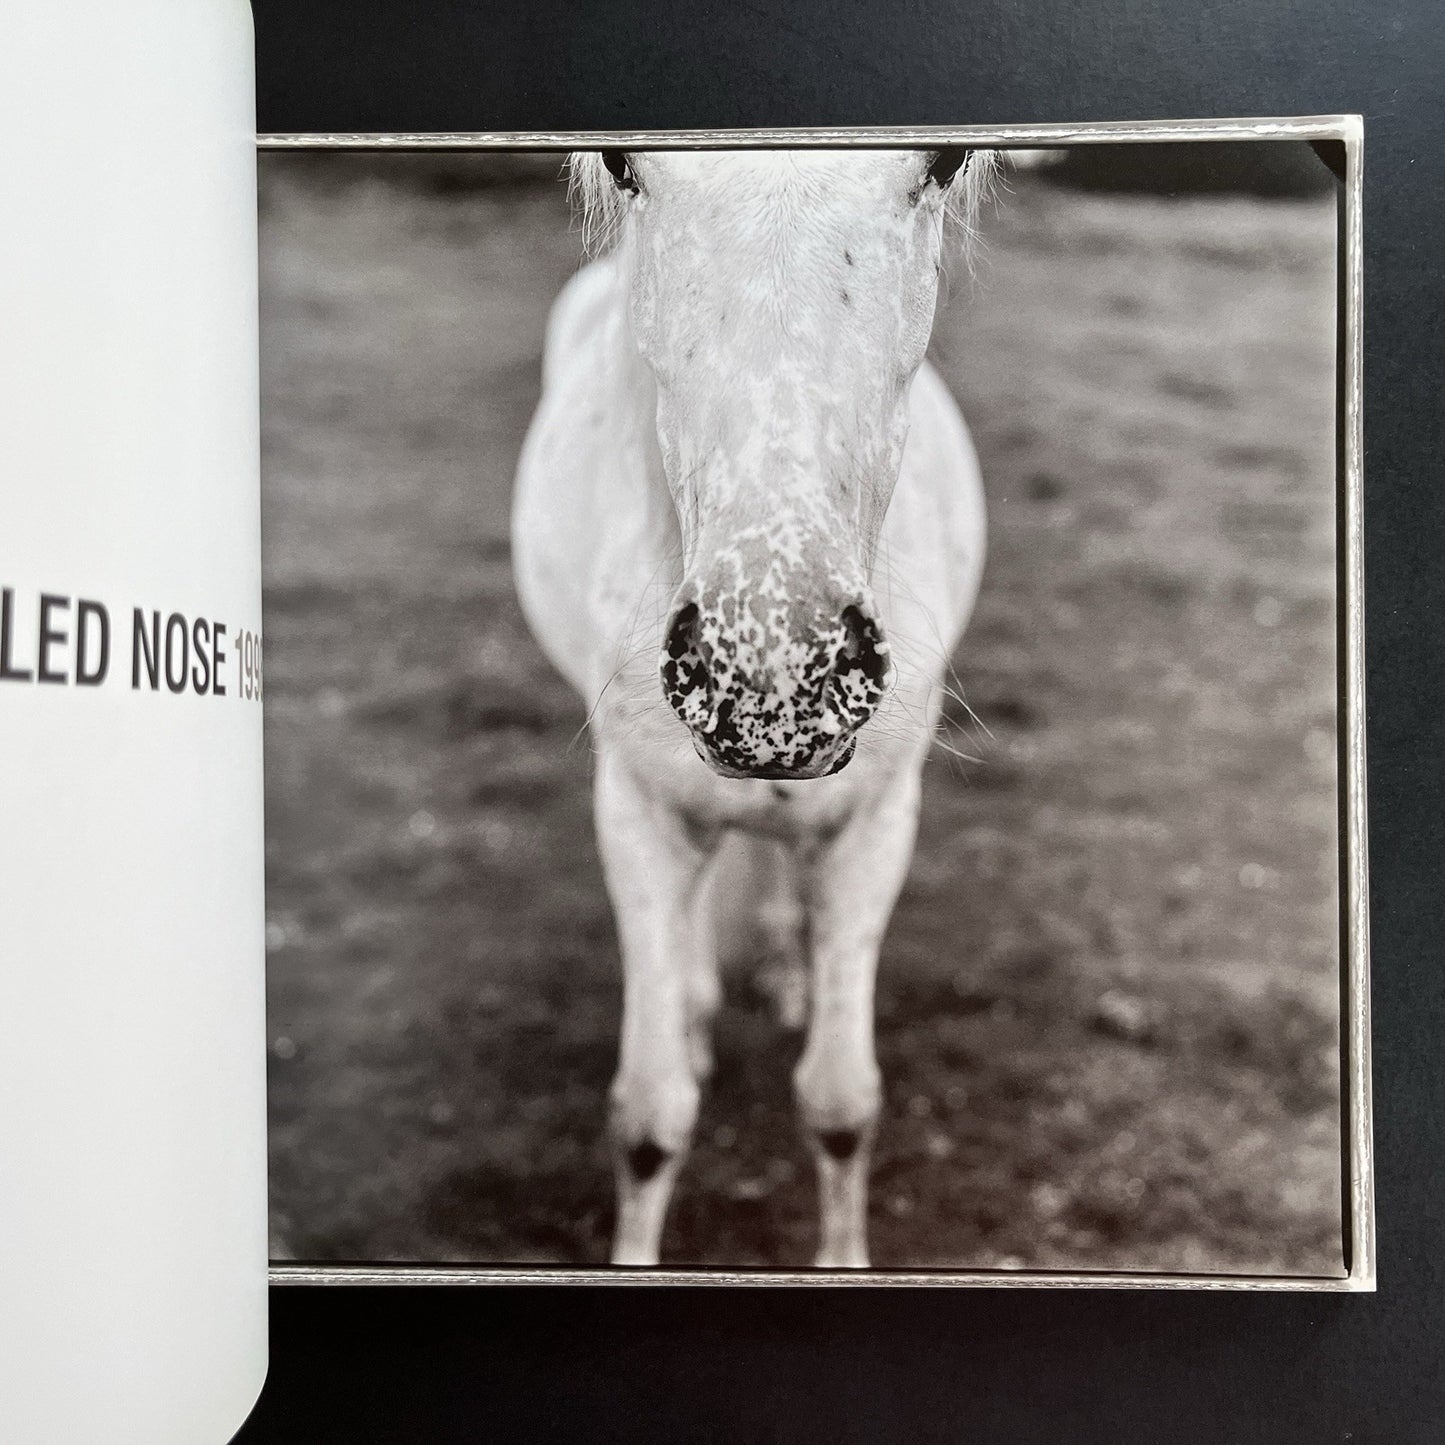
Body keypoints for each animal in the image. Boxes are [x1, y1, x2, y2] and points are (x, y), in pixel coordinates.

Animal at [512, 147, 992, 1268]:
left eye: (946, 157)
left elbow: (841, 1103)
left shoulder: (874, 823)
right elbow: (648, 1118)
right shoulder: (637, 816)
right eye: (620, 162)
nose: (773, 663)